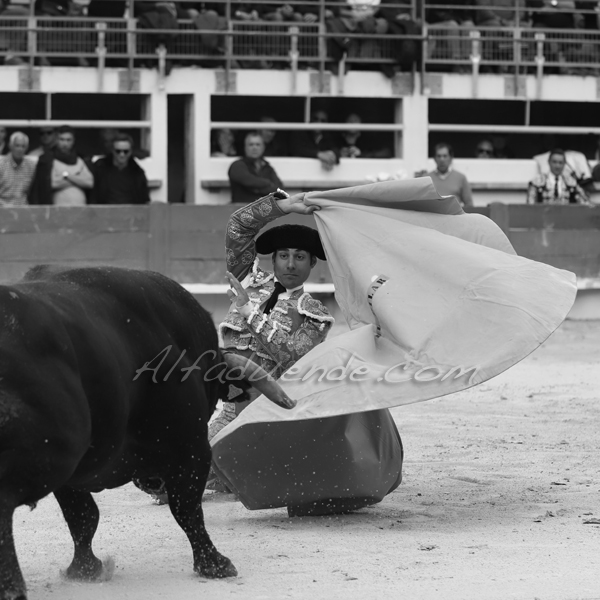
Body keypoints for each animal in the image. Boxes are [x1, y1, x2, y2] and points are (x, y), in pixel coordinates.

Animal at [0, 264, 296, 596]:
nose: (153, 483)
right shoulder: (191, 448)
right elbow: (186, 509)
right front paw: (215, 564)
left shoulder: (75, 472)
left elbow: (83, 517)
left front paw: (85, 569)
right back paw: (12, 585)